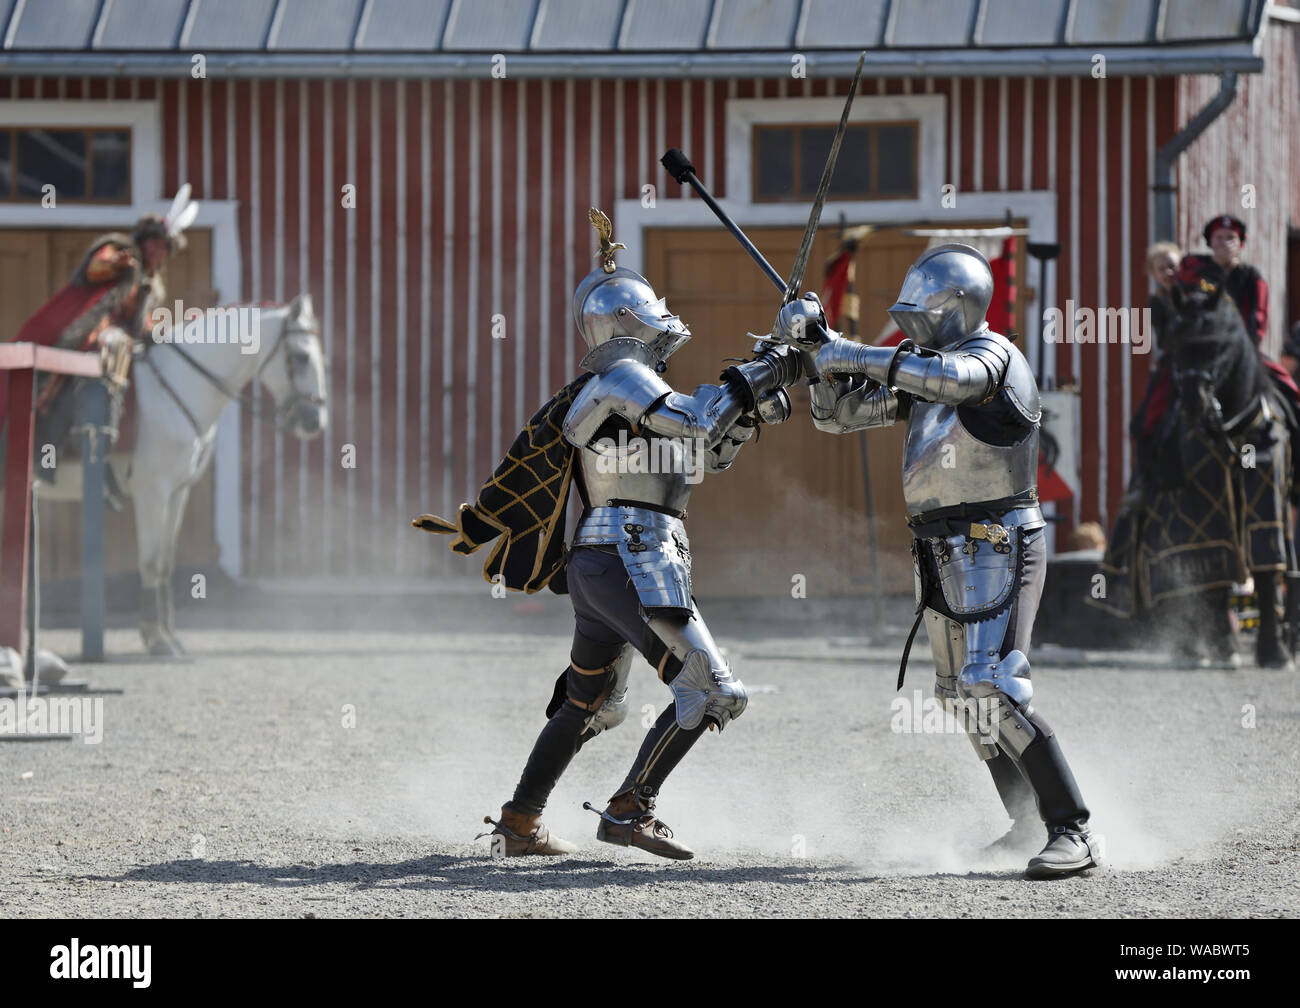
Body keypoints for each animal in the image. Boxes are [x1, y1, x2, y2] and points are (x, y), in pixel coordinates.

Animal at [39, 293, 330, 655]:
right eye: (302, 357)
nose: (315, 421)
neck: (176, 387)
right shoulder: (153, 493)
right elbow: (150, 561)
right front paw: (156, 639)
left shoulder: (178, 491)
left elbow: (165, 563)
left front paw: (168, 636)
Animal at [1092, 279, 1294, 665]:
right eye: (1178, 346)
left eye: (1218, 344)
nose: (1193, 402)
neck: (1230, 429)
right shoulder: (1204, 506)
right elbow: (1213, 569)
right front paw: (1225, 644)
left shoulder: (1267, 500)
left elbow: (1266, 565)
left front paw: (1274, 650)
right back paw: (1194, 645)